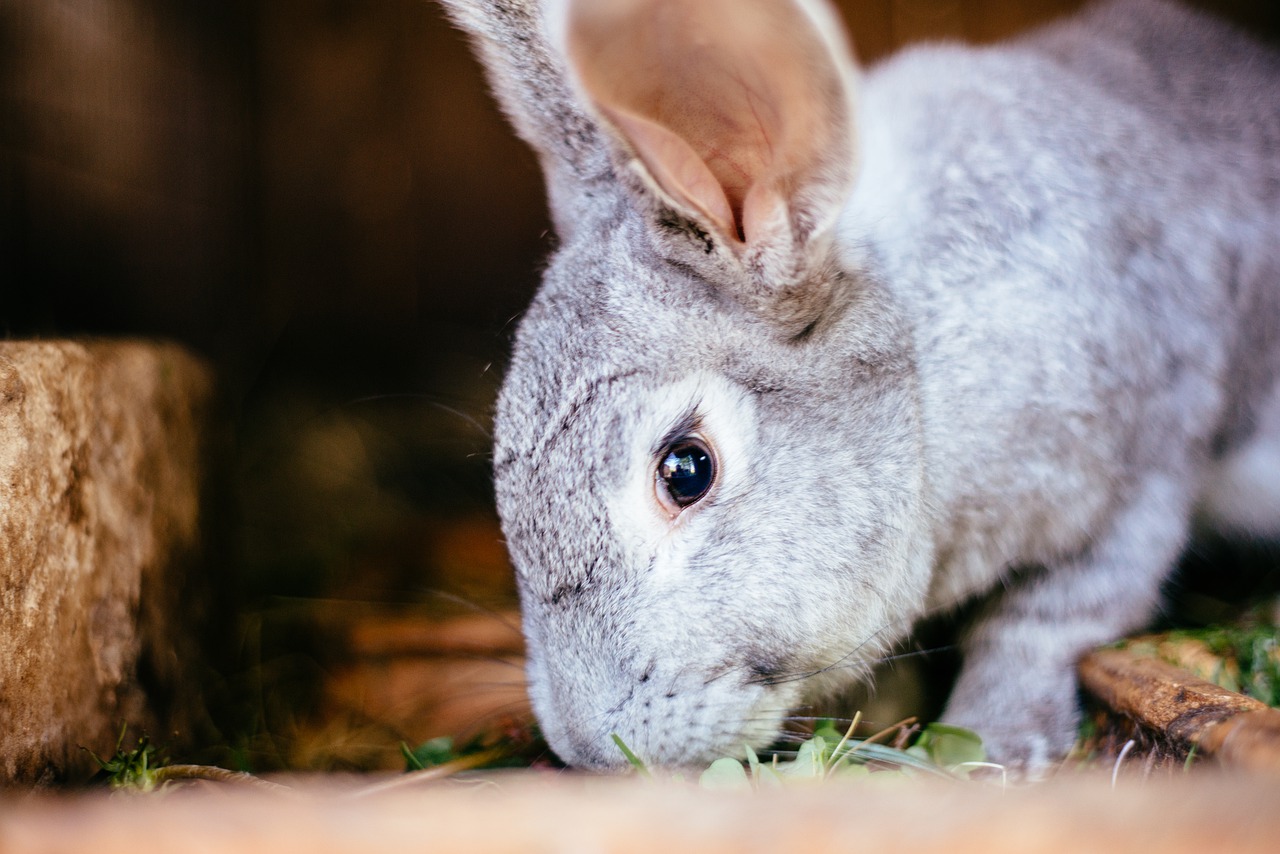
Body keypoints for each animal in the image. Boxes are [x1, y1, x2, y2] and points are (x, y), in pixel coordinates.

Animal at [440, 0, 1280, 773]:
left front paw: (995, 745)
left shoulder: (1145, 464)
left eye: (686, 470)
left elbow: (1043, 618)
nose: (589, 748)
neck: (921, 374)